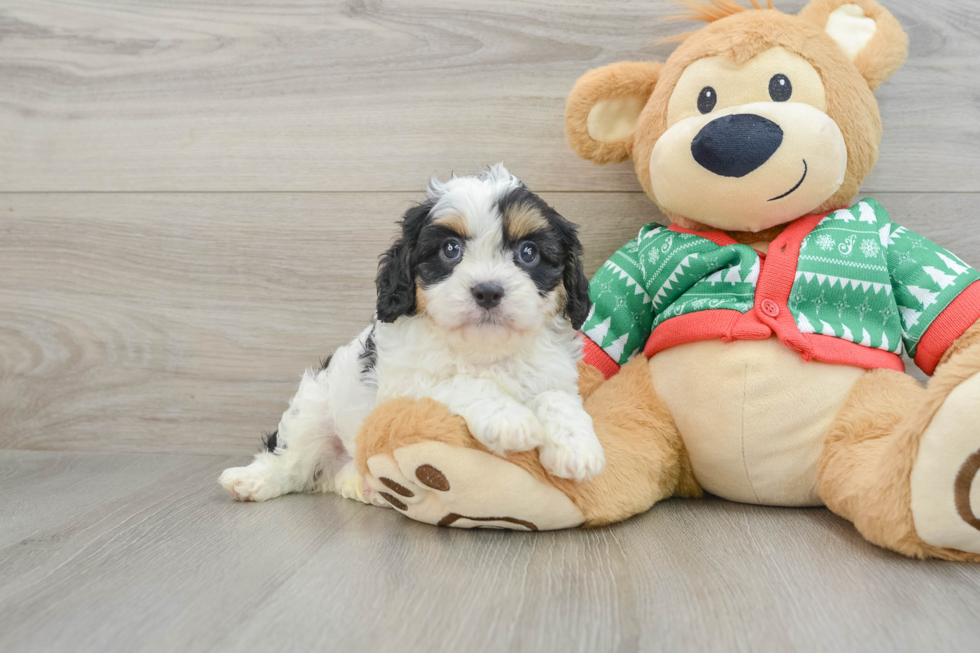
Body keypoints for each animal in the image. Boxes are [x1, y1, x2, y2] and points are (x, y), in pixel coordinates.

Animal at [220, 163, 604, 504]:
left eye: (528, 253)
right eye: (450, 249)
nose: (488, 291)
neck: (483, 349)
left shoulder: (553, 375)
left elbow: (556, 398)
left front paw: (577, 445)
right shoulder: (403, 386)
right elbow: (460, 382)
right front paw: (509, 419)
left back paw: (365, 487)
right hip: (313, 407)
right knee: (291, 458)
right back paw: (251, 480)